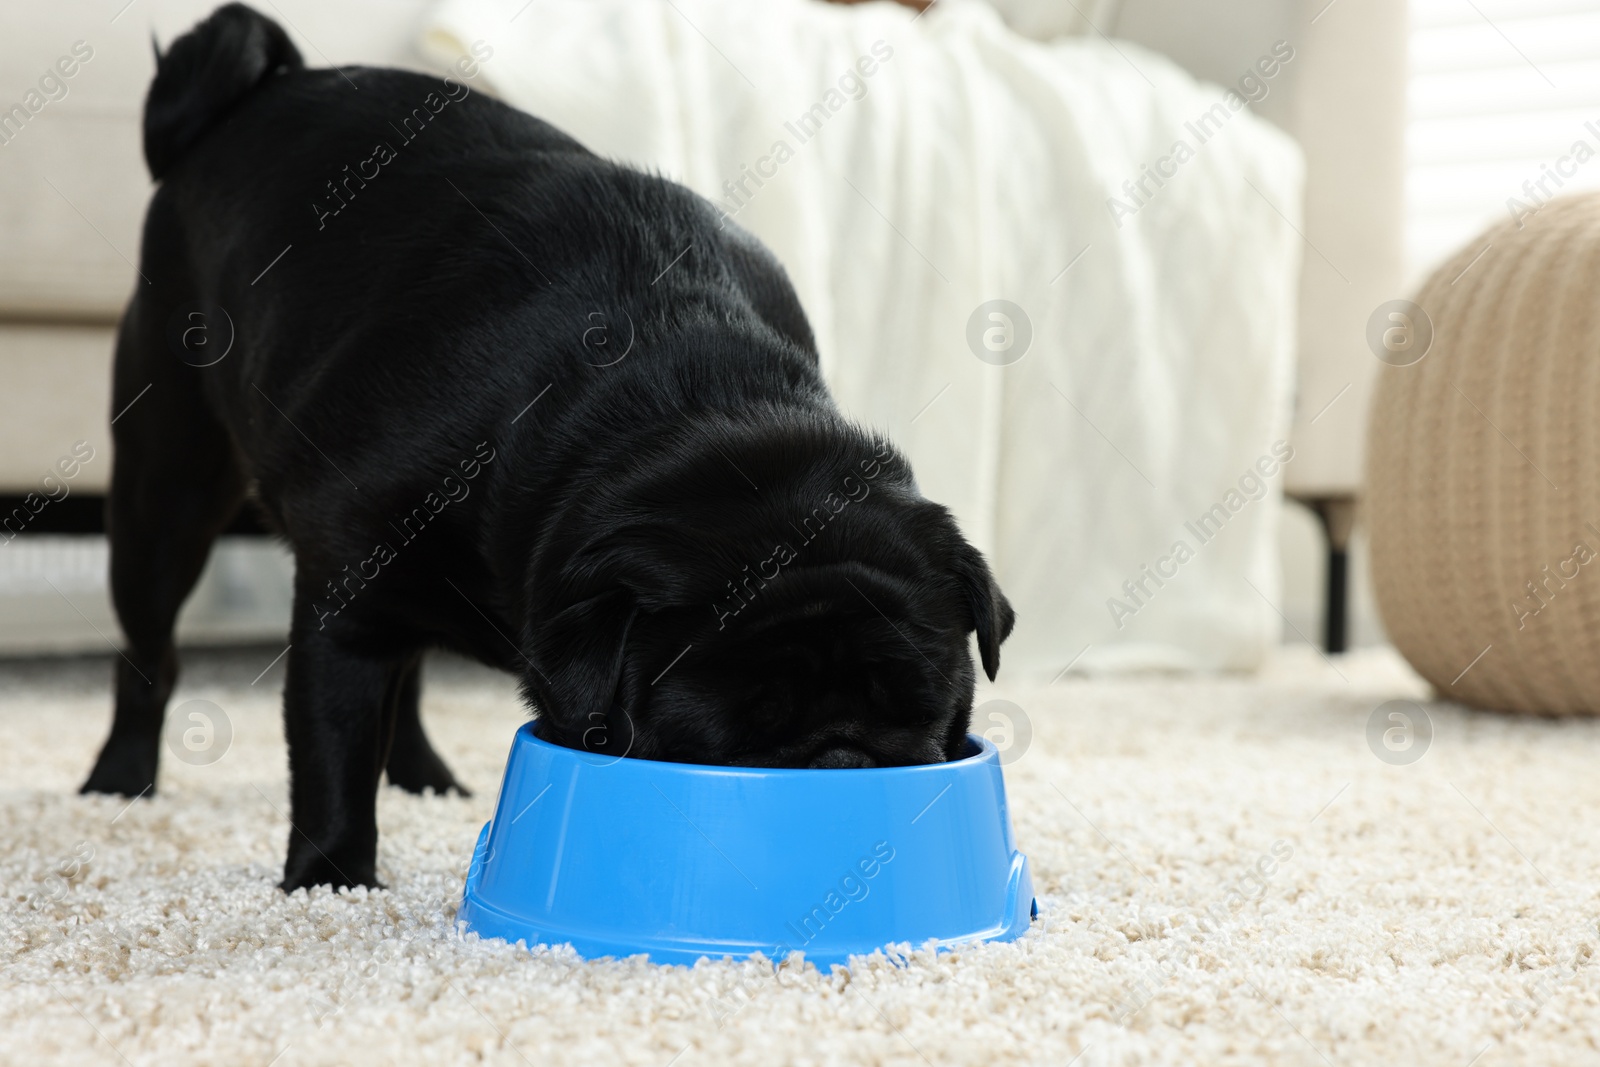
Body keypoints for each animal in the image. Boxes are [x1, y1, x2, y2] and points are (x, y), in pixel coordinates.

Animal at [84, 4, 1011, 895]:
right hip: (165, 493)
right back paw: (119, 779)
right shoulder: (341, 606)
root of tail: (250, 99)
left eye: (927, 710)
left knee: (407, 677)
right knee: (151, 650)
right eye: (732, 733)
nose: (842, 752)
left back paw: (422, 773)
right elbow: (331, 754)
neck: (686, 398)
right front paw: (330, 881)